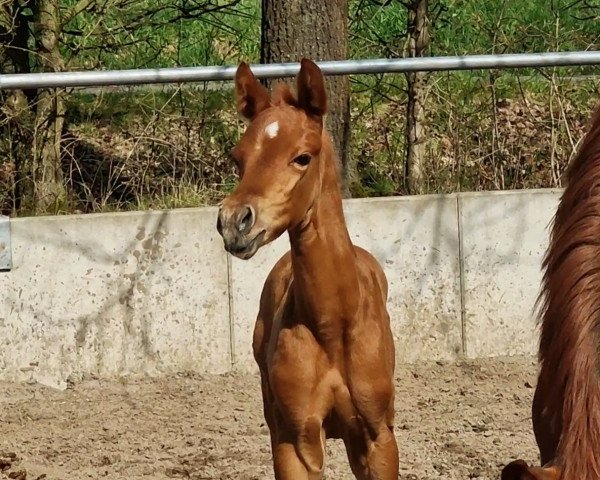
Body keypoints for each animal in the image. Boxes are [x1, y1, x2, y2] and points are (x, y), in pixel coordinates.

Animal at [216, 58, 398, 478]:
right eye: (238, 158)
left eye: (302, 157)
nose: (234, 222)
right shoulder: (295, 440)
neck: (333, 325)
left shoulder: (378, 437)